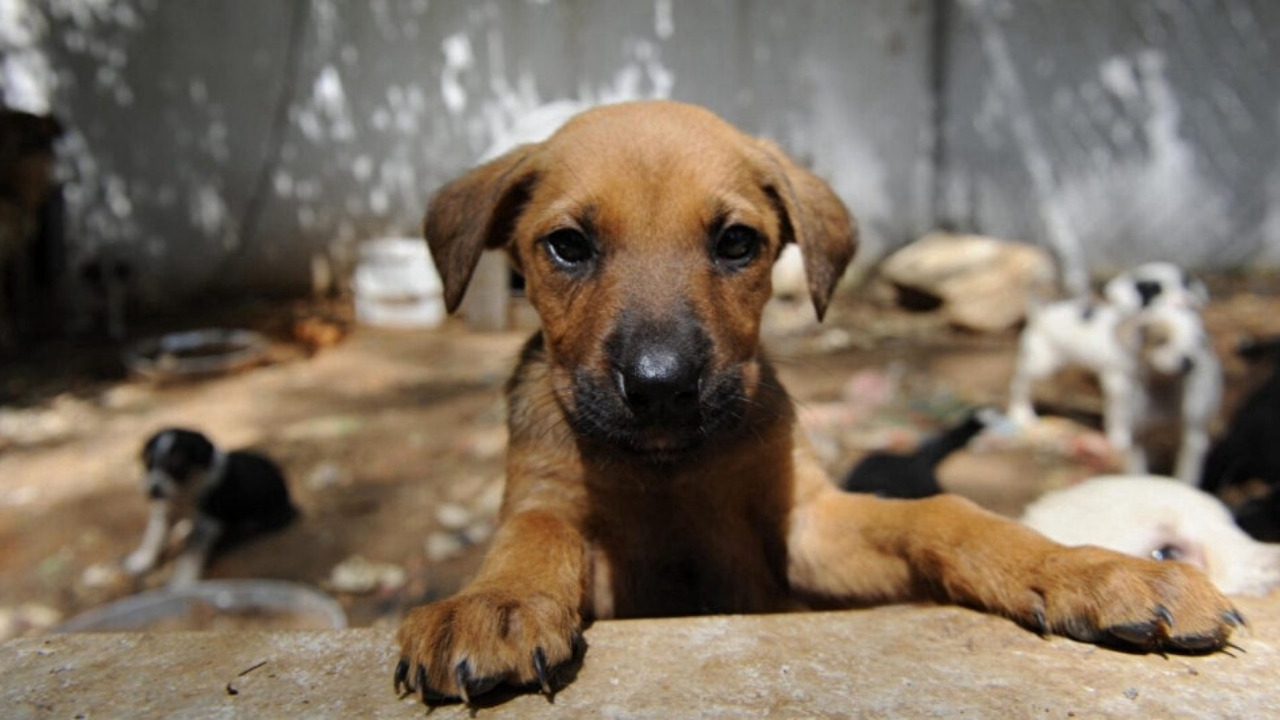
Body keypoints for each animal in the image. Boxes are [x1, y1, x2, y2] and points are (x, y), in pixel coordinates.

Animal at [122, 425, 296, 584]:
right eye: (149, 463)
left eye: (178, 464)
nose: (153, 491)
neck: (185, 490)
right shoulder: (165, 512)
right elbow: (153, 538)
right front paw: (141, 561)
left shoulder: (207, 524)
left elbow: (190, 555)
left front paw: (181, 582)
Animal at [1008, 266, 1218, 484]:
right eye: (1154, 289)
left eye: (1186, 285)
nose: (1187, 301)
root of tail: (1041, 313)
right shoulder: (1117, 381)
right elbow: (1119, 415)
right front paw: (1119, 439)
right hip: (1042, 363)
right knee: (1020, 385)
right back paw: (1022, 413)